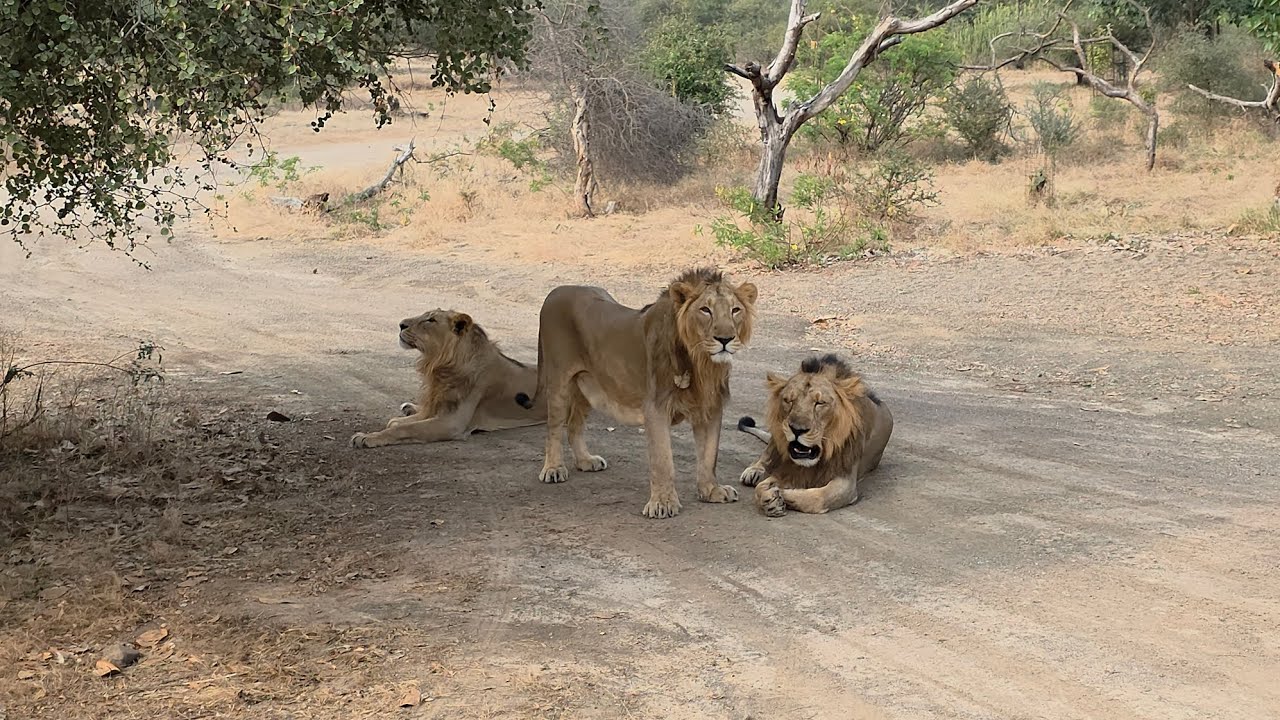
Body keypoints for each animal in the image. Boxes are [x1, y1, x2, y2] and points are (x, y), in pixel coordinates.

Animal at [350, 309, 546, 448]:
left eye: (431, 320)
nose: (401, 324)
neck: (440, 365)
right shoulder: (439, 406)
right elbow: (397, 422)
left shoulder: (452, 423)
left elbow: (403, 427)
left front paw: (366, 437)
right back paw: (409, 407)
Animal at [515, 267, 758, 519]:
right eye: (705, 310)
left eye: (735, 310)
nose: (725, 339)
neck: (701, 363)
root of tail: (555, 291)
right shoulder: (656, 407)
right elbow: (662, 459)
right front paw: (663, 503)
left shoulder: (710, 407)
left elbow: (709, 454)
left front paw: (711, 491)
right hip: (558, 381)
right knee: (553, 427)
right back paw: (553, 469)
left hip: (588, 385)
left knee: (574, 425)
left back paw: (585, 460)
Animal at [737, 354, 893, 517]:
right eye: (788, 400)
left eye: (819, 403)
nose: (797, 429)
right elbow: (760, 487)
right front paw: (770, 499)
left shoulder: (845, 481)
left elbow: (817, 497)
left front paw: (780, 494)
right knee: (768, 454)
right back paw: (754, 471)